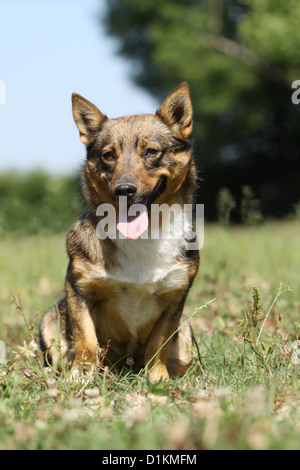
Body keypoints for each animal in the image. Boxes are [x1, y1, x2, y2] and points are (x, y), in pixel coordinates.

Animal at [39, 81, 199, 382]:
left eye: (151, 152)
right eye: (108, 155)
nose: (124, 190)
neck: (145, 236)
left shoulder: (175, 298)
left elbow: (158, 345)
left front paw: (158, 380)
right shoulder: (78, 289)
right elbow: (86, 340)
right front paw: (82, 375)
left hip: (185, 337)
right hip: (49, 320)